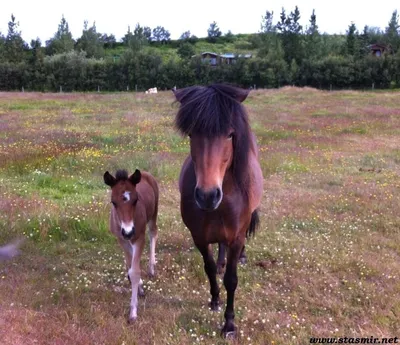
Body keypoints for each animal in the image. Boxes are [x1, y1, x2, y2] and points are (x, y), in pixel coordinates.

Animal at [103, 168, 159, 322]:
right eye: (113, 202)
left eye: (135, 200)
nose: (128, 231)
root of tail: (145, 173)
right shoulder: (121, 240)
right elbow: (130, 266)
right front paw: (139, 287)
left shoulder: (138, 238)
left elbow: (134, 271)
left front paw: (133, 312)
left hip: (154, 213)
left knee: (153, 232)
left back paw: (151, 268)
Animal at [174, 83, 262, 336]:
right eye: (191, 134)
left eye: (230, 134)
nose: (207, 195)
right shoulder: (199, 237)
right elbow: (210, 268)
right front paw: (214, 300)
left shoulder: (237, 236)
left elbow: (231, 280)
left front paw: (229, 324)